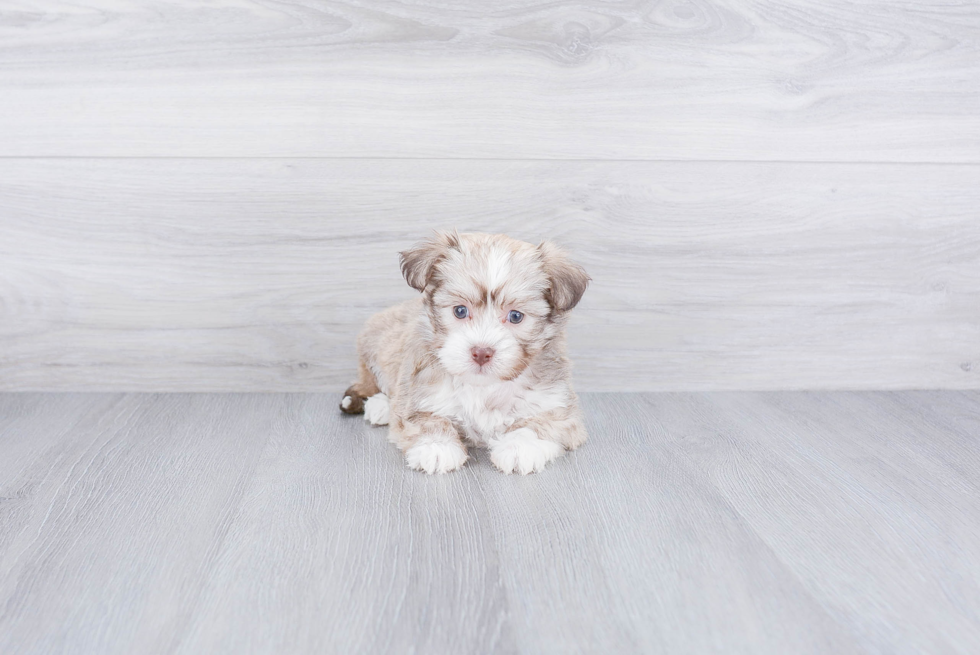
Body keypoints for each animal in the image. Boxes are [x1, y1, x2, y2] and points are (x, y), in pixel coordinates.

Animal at [340, 232, 588, 476]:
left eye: (516, 316)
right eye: (460, 311)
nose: (481, 352)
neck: (484, 387)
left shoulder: (558, 406)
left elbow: (540, 423)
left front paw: (520, 447)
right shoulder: (419, 393)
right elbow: (425, 419)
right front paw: (437, 446)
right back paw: (380, 406)